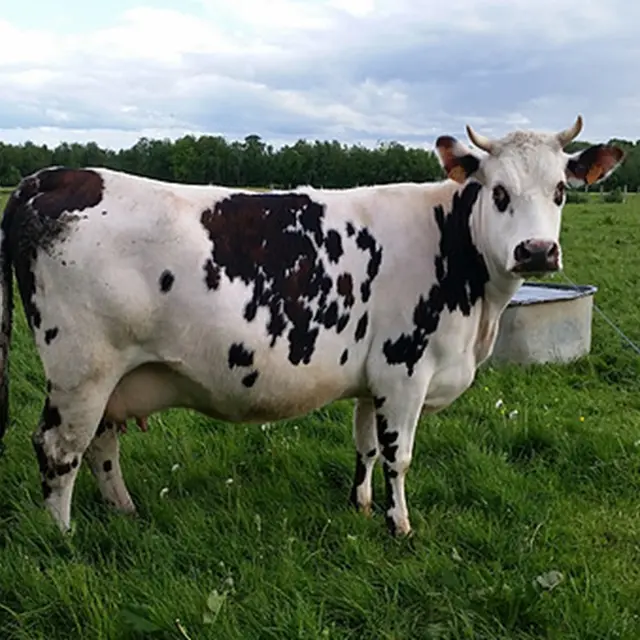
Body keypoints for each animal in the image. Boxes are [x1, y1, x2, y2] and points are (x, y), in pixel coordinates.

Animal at [0, 116, 624, 537]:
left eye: (561, 191)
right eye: (498, 192)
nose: (537, 251)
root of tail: (49, 178)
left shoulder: (374, 378)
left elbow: (366, 446)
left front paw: (361, 506)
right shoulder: (405, 370)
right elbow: (398, 455)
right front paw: (400, 526)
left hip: (111, 376)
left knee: (101, 441)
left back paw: (124, 510)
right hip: (81, 368)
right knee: (59, 447)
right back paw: (63, 537)